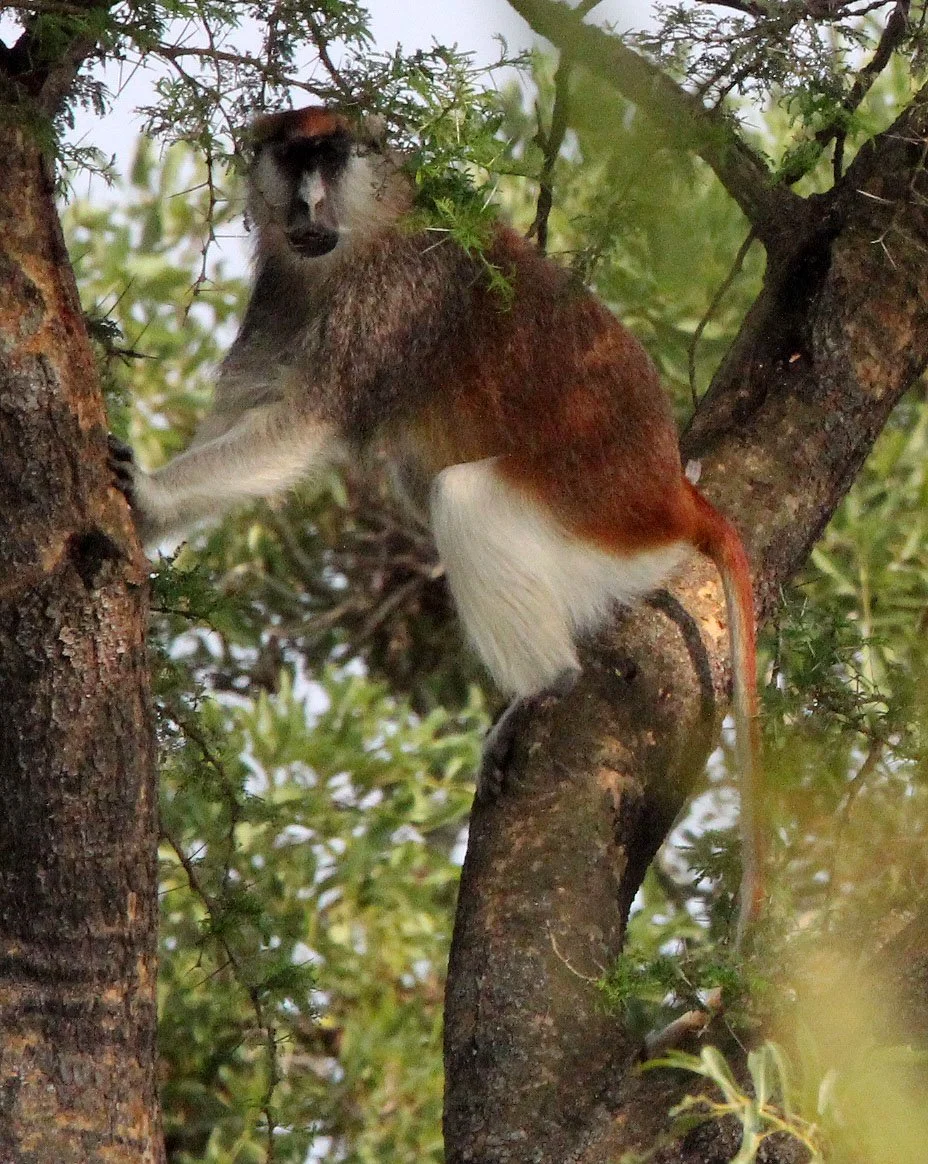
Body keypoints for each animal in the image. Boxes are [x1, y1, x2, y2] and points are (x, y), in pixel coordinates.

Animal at [110, 105, 762, 942]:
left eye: (333, 157)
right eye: (294, 158)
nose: (308, 204)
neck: (371, 227)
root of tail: (671, 494)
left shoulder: (388, 304)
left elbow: (301, 426)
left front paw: (150, 497)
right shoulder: (282, 295)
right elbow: (238, 417)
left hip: (593, 517)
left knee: (460, 497)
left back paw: (546, 684)